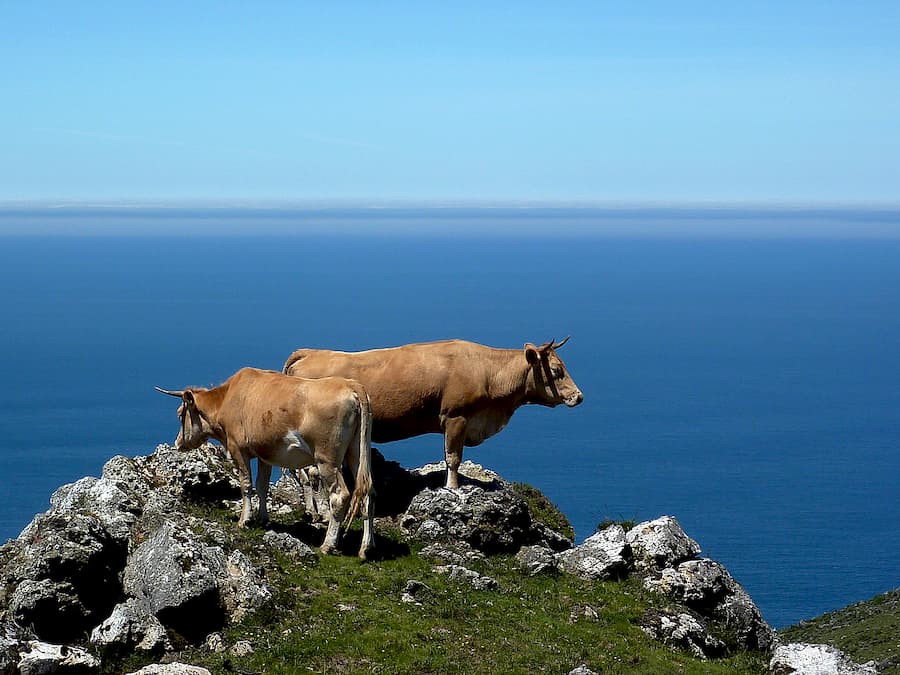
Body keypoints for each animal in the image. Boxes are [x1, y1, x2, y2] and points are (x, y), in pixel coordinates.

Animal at [156, 368, 374, 564]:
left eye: (179, 414)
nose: (178, 442)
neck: (226, 398)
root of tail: (351, 385)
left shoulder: (238, 448)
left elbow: (246, 485)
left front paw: (245, 520)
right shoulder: (265, 454)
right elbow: (262, 486)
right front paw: (263, 519)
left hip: (326, 458)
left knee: (340, 495)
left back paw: (328, 545)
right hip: (357, 453)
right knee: (368, 493)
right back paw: (366, 548)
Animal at [284, 338, 588, 492]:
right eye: (557, 371)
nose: (579, 396)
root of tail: (308, 352)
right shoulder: (456, 417)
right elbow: (453, 458)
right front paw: (453, 487)